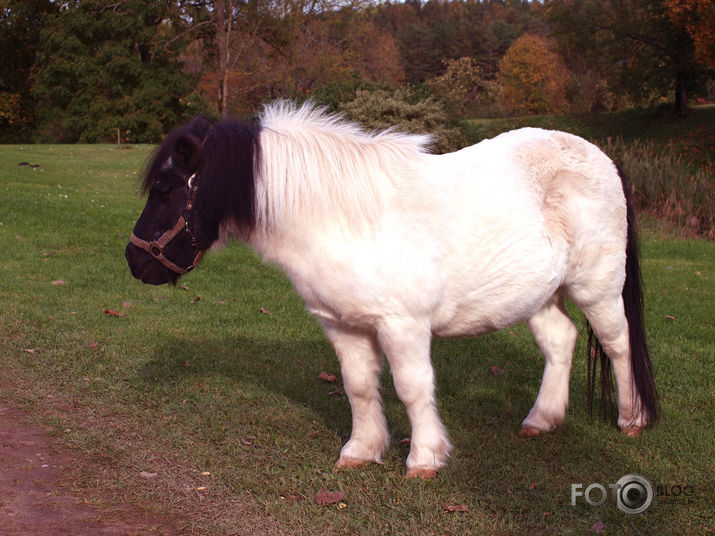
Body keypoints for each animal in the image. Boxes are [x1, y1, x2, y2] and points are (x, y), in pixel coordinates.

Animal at [127, 102, 660, 480]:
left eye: (166, 190)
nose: (135, 262)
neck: (343, 219)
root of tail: (603, 157)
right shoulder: (342, 325)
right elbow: (359, 386)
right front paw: (361, 451)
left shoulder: (403, 325)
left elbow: (411, 387)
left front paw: (424, 458)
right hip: (538, 294)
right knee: (560, 341)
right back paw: (542, 419)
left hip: (597, 287)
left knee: (617, 343)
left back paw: (631, 419)